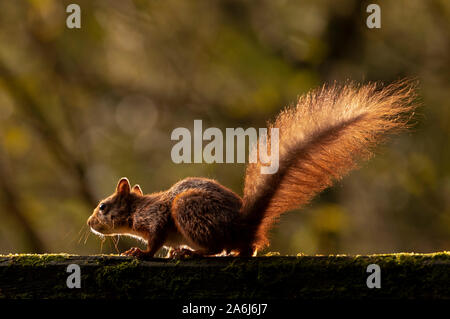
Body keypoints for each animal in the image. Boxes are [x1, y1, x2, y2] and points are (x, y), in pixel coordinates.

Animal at [86, 80, 416, 260]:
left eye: (103, 206)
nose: (90, 223)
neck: (136, 209)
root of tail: (245, 227)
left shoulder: (156, 218)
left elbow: (155, 239)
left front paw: (141, 253)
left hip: (188, 210)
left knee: (217, 249)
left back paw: (189, 252)